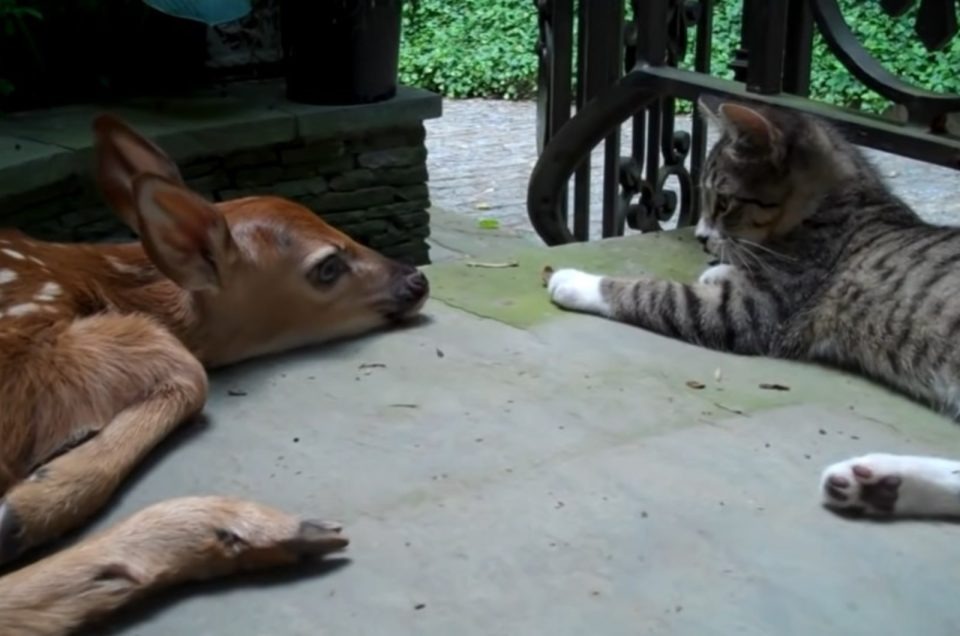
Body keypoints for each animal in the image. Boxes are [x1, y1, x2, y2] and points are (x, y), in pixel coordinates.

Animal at [544, 98, 956, 516]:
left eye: (724, 203)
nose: (700, 237)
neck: (838, 202)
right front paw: (720, 269)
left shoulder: (756, 312)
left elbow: (657, 293)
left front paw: (576, 282)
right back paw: (876, 484)